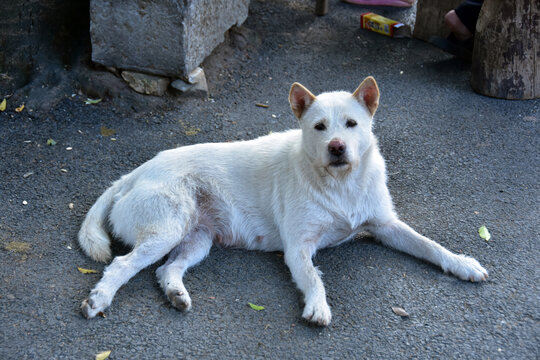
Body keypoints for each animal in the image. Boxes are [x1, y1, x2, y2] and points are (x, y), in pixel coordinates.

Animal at [80, 77, 490, 324]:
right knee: (121, 265)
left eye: (352, 124)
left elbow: (431, 246)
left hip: (197, 240)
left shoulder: (387, 226)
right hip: (165, 231)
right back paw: (99, 299)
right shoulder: (298, 248)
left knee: (166, 270)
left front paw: (463, 264)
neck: (340, 183)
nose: (337, 147)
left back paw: (176, 293)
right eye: (319, 127)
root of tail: (133, 174)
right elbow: (314, 278)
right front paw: (318, 305)